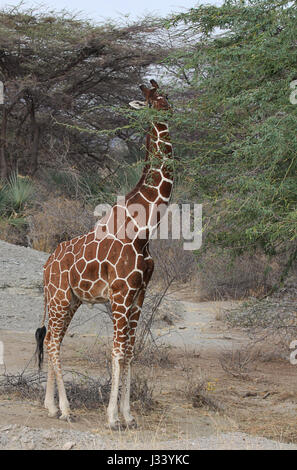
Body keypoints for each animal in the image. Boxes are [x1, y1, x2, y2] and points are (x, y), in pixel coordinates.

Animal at [35, 80, 172, 430]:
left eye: (167, 98)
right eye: (153, 100)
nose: (166, 113)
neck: (145, 228)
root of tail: (46, 265)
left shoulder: (139, 294)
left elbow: (131, 351)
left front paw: (129, 415)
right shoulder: (121, 294)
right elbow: (118, 351)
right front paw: (112, 418)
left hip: (69, 300)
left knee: (54, 339)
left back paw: (50, 406)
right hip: (59, 297)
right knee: (52, 342)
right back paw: (65, 409)